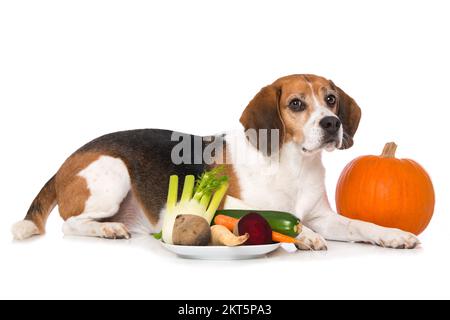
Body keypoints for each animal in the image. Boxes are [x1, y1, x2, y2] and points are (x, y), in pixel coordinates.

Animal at [12, 75, 420, 250]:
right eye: (296, 104)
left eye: (331, 99)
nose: (332, 123)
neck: (293, 164)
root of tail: (66, 161)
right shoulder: (230, 207)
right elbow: (280, 220)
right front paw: (304, 235)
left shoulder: (326, 216)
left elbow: (361, 225)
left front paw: (393, 234)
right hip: (112, 173)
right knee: (70, 225)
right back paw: (106, 230)